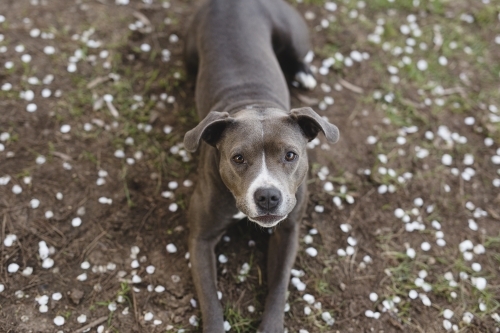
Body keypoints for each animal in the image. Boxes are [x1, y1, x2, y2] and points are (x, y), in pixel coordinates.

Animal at [182, 0, 338, 330]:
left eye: (290, 155)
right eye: (238, 158)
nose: (267, 196)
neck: (254, 105)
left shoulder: (288, 230)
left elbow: (279, 286)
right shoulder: (200, 239)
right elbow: (210, 300)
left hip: (293, 34)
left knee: (298, 55)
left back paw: (304, 73)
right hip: (189, 54)